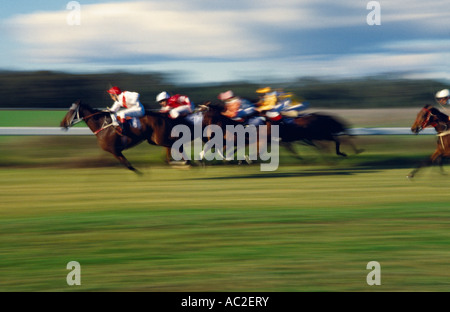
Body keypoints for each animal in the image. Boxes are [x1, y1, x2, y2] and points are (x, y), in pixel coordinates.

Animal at [61, 100, 197, 172]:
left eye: (71, 111)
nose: (62, 124)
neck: (103, 125)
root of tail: (163, 114)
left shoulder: (114, 150)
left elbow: (129, 166)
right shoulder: (115, 152)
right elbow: (128, 166)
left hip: (160, 138)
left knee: (176, 145)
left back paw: (187, 162)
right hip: (154, 140)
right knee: (174, 146)